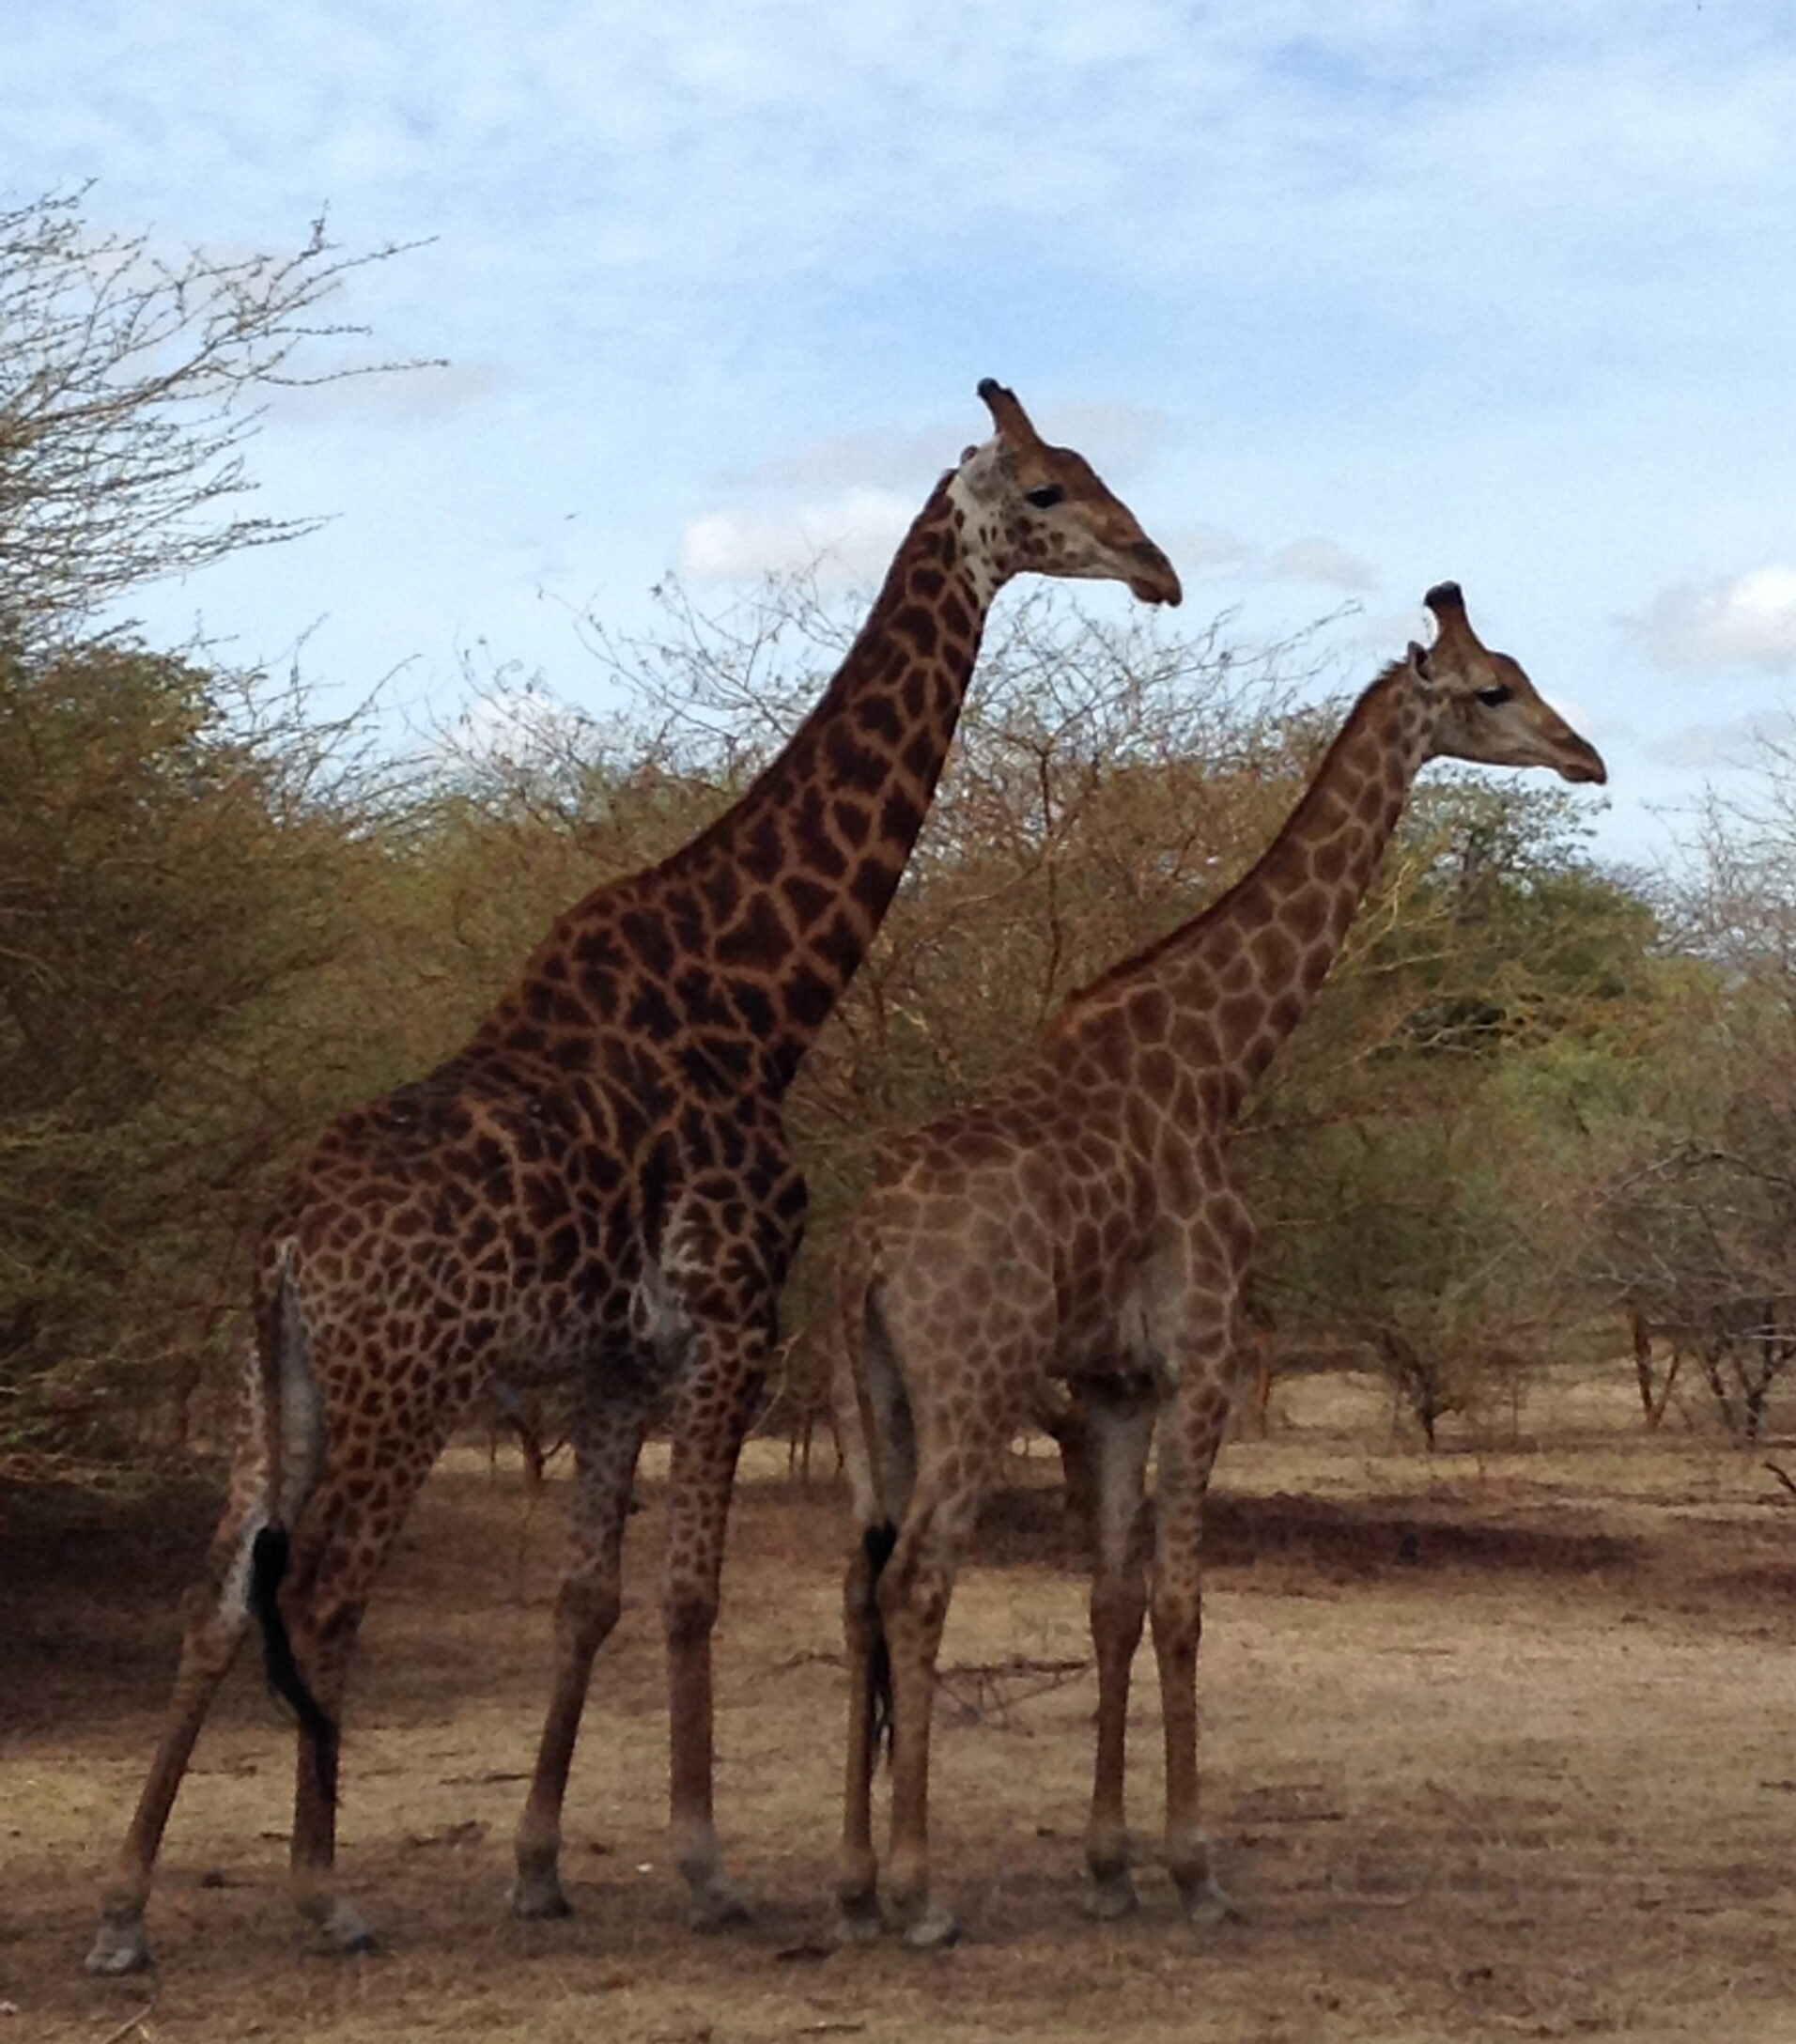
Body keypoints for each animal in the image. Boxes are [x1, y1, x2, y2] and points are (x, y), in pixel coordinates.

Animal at [84, 381, 1183, 1975]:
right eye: (1045, 490)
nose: (1160, 568)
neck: (762, 1001)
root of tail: (285, 1239)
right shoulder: (733, 1320)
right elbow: (689, 1593)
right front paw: (709, 1868)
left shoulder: (612, 1362)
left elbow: (587, 1594)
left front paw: (540, 1868)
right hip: (406, 1383)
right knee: (327, 1590)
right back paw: (323, 1890)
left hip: (270, 1380)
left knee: (219, 1593)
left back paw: (123, 1904)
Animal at [831, 583, 1604, 1948]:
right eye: (1495, 689)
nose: (1587, 757)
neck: (1216, 1062)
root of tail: (867, 1248)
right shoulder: (1201, 1356)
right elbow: (1185, 1607)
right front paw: (1193, 1870)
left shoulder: (1113, 1387)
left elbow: (1112, 1601)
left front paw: (1109, 1866)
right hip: (971, 1389)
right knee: (917, 1580)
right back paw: (922, 1896)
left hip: (868, 1397)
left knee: (860, 1587)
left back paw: (859, 1882)